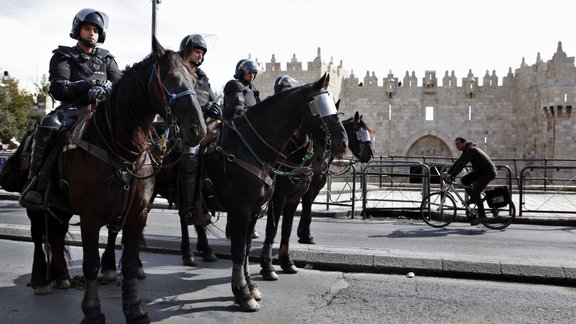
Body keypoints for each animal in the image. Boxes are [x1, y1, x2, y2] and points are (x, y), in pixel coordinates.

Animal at [202, 73, 346, 312]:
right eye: (318, 106)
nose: (342, 142)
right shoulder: (266, 202)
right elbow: (267, 233)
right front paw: (264, 271)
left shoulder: (289, 201)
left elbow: (283, 231)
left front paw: (286, 262)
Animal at [258, 110, 374, 280]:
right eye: (358, 132)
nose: (369, 155)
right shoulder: (305, 191)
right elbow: (306, 213)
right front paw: (306, 236)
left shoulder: (311, 190)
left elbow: (306, 213)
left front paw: (302, 234)